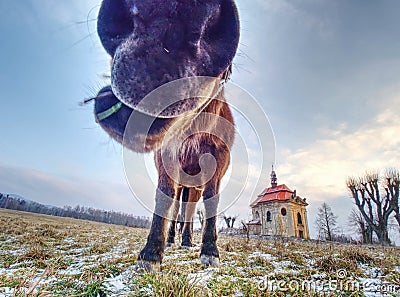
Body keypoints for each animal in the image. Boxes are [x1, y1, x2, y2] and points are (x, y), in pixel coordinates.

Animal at [91, 0, 238, 270]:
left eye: (228, 71)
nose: (169, 21)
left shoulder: (218, 160)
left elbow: (210, 202)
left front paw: (210, 251)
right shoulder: (166, 156)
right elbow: (165, 198)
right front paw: (151, 254)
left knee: (189, 210)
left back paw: (187, 241)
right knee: (179, 206)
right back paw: (171, 240)